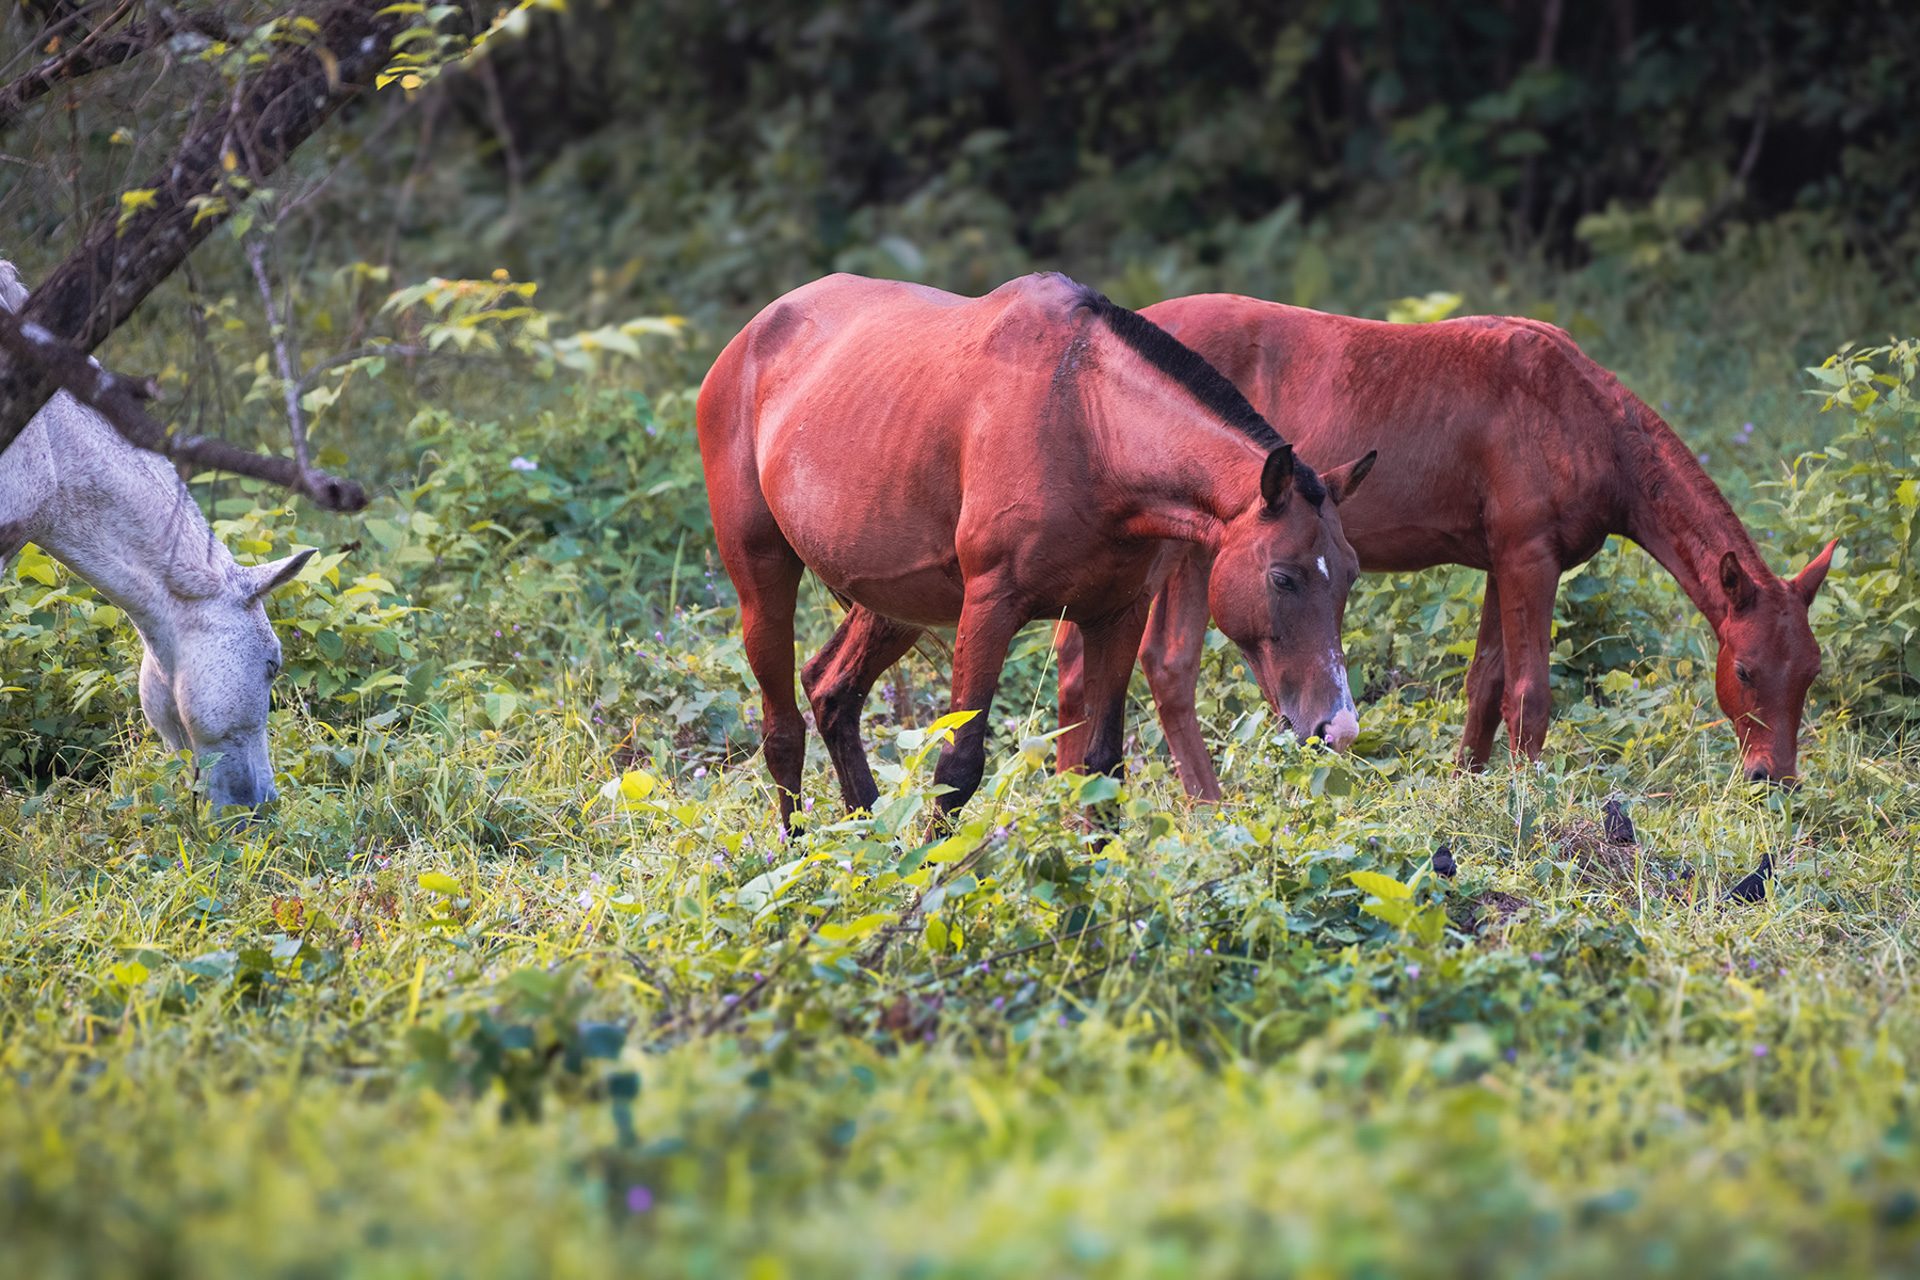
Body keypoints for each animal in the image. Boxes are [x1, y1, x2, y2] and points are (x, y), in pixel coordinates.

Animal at [698, 272, 1378, 831]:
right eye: (1282, 578)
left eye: (1349, 577)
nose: (1337, 727)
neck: (1087, 422)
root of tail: (749, 338)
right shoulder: (990, 607)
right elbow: (958, 770)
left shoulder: (1118, 614)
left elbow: (1102, 767)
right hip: (763, 582)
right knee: (783, 732)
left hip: (895, 603)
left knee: (833, 692)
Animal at [1058, 293, 1835, 797]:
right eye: (1745, 672)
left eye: (1810, 674)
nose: (1774, 779)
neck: (1579, 414)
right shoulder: (1530, 560)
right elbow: (1529, 693)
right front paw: (1526, 802)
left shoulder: (1502, 562)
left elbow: (1485, 685)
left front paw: (1470, 788)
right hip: (1180, 549)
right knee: (1162, 663)